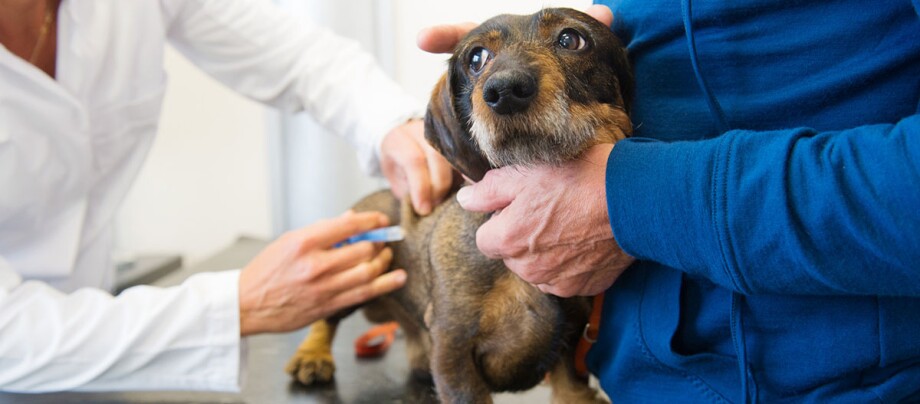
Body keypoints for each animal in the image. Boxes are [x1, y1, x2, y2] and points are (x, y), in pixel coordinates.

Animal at [286, 7, 632, 404]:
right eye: (477, 58)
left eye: (571, 39)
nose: (505, 91)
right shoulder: (454, 348)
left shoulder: (570, 348)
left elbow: (572, 391)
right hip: (359, 267)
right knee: (326, 315)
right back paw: (312, 356)